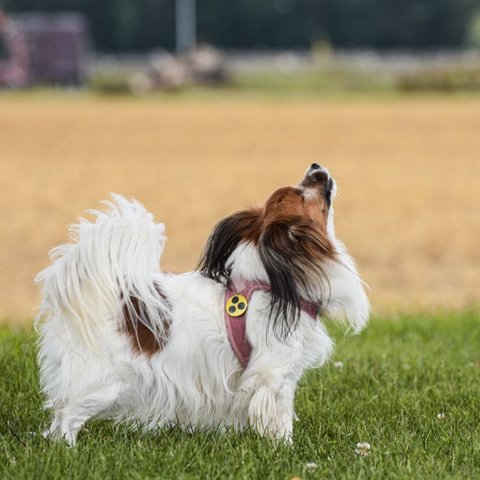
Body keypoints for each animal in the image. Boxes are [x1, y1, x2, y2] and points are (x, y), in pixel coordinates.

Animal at [35, 165, 370, 446]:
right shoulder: (275, 375)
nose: (316, 167)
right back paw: (67, 450)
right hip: (105, 386)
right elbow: (280, 418)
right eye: (303, 193)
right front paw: (284, 449)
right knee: (68, 416)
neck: (271, 282)